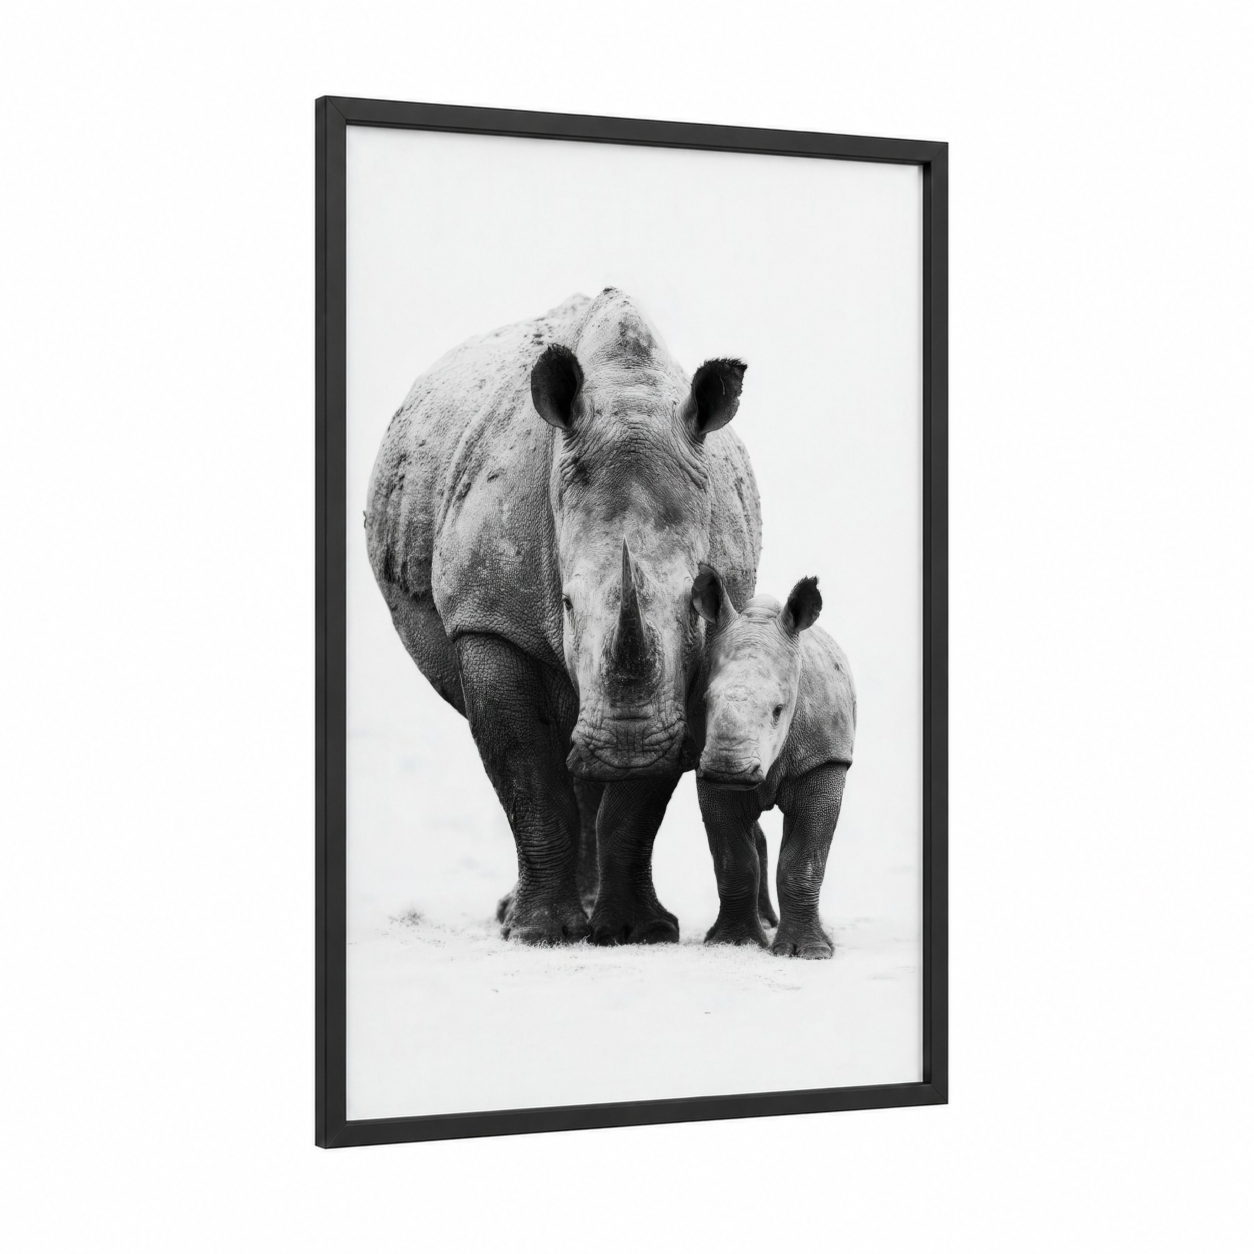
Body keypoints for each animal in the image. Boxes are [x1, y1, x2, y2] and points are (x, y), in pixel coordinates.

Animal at [365, 290, 761, 944]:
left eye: (693, 604)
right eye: (567, 605)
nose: (627, 746)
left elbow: (635, 806)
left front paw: (638, 932)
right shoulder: (490, 622)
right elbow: (526, 771)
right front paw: (536, 934)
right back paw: (523, 916)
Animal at [688, 566, 856, 958]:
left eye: (779, 710)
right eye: (704, 703)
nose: (729, 768)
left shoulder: (825, 759)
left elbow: (804, 860)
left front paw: (810, 952)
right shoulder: (707, 771)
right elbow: (734, 860)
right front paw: (733, 942)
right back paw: (762, 925)